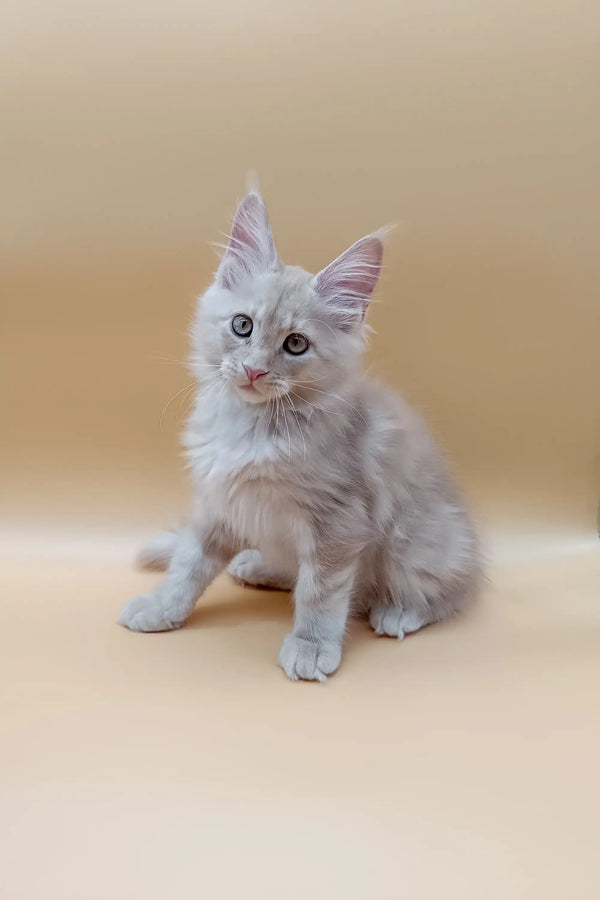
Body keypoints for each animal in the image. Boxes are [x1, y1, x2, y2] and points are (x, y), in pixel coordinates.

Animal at [118, 188, 482, 684]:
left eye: (295, 344)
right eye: (242, 325)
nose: (254, 370)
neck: (251, 428)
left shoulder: (339, 522)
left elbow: (320, 592)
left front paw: (311, 645)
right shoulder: (218, 502)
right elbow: (187, 565)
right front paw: (159, 607)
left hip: (416, 542)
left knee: (449, 592)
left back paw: (399, 611)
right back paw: (257, 564)